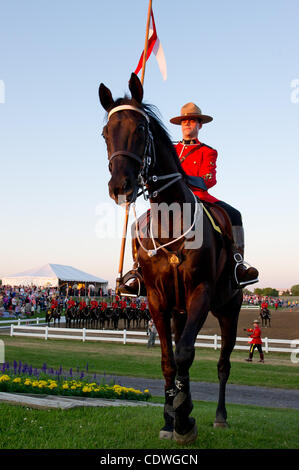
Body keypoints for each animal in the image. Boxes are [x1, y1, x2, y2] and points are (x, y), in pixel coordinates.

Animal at [98, 73, 244, 444]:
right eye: (105, 132)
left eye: (140, 128)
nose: (120, 186)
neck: (170, 222)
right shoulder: (157, 300)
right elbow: (169, 360)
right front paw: (171, 418)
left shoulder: (200, 294)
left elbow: (186, 353)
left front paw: (183, 416)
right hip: (179, 312)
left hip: (229, 309)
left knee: (223, 364)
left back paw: (220, 416)